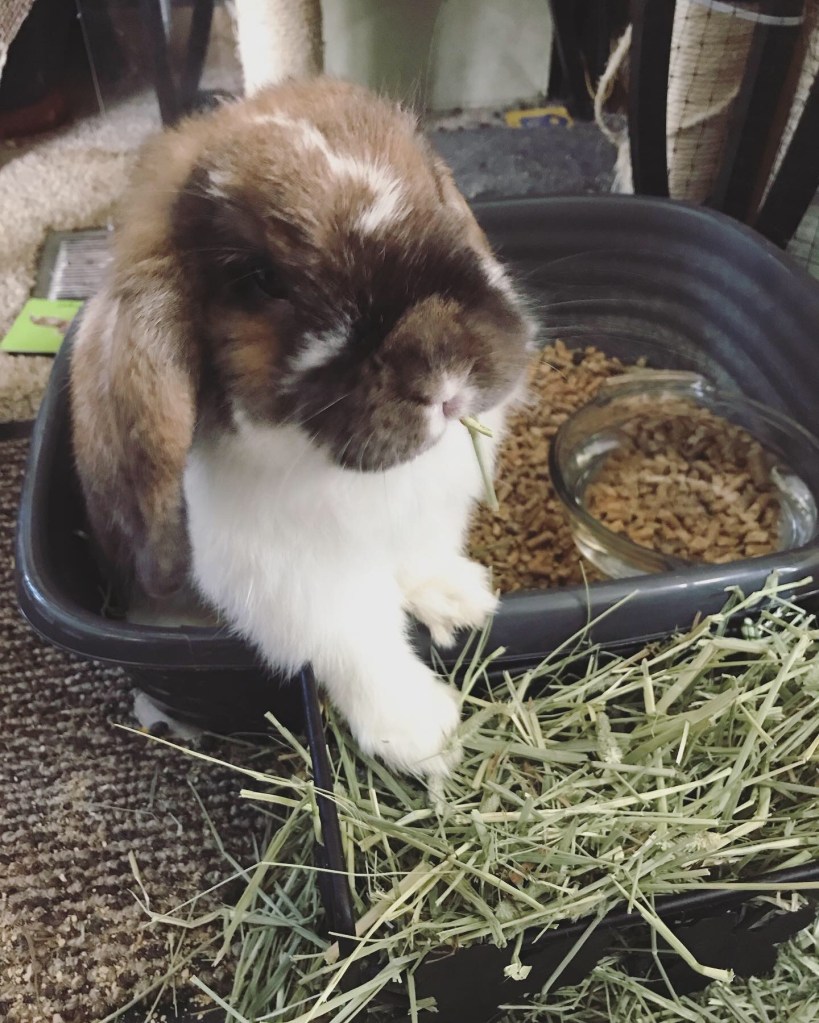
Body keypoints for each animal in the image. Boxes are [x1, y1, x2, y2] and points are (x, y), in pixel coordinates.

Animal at [70, 77, 537, 777]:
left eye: (434, 190)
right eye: (260, 279)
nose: (444, 375)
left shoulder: (424, 519)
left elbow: (421, 557)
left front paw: (462, 600)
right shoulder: (293, 584)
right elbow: (355, 639)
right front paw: (424, 733)